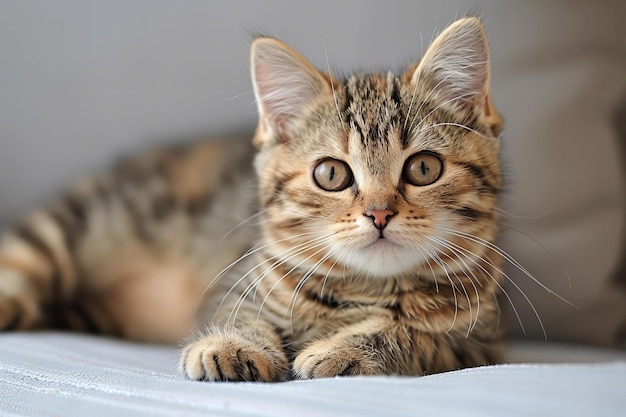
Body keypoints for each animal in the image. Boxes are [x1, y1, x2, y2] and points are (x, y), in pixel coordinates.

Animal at [0, 17, 502, 380]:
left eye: (423, 169)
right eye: (332, 174)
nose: (379, 214)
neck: (363, 287)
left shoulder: (475, 341)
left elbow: (411, 335)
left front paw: (346, 350)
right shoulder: (238, 280)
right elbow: (238, 311)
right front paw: (231, 343)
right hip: (84, 220)